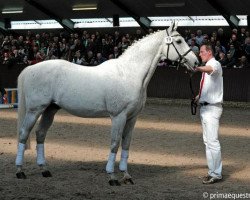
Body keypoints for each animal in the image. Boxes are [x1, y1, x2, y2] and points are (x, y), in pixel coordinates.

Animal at [15, 22, 199, 186]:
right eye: (179, 41)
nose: (196, 62)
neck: (129, 73)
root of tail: (30, 69)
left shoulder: (132, 118)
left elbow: (126, 144)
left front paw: (126, 175)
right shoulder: (118, 117)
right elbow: (115, 144)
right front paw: (112, 177)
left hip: (50, 110)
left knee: (40, 134)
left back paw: (44, 170)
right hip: (34, 110)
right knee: (24, 134)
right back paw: (19, 171)